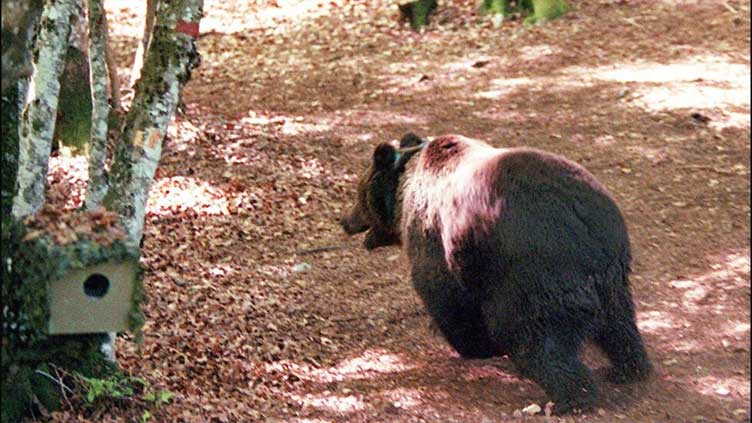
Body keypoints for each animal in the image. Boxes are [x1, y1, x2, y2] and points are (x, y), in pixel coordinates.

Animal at [340, 134, 652, 416]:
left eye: (358, 194)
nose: (344, 220)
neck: (403, 195)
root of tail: (585, 221)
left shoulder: (435, 237)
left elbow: (445, 296)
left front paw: (471, 344)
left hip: (533, 269)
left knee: (534, 337)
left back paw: (570, 398)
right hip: (611, 272)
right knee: (619, 322)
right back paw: (628, 368)